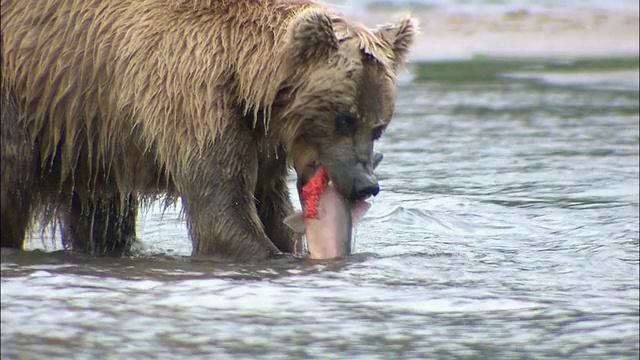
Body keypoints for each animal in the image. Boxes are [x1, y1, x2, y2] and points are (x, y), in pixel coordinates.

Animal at [0, 0, 418, 258]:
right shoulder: (191, 101)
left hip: (86, 135)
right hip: (23, 103)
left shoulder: (260, 140)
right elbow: (222, 208)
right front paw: (268, 253)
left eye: (378, 126)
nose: (365, 184)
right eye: (343, 117)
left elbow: (268, 204)